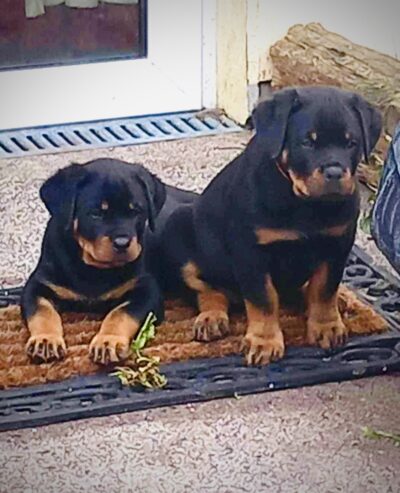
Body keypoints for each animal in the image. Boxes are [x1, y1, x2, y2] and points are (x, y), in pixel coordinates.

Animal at [21, 157, 166, 362]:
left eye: (136, 211)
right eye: (96, 213)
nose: (122, 243)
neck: (93, 269)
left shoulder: (147, 290)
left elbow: (121, 313)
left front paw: (108, 341)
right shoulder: (38, 285)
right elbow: (42, 311)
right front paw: (45, 340)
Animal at [148, 86, 382, 366]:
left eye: (350, 143)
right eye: (307, 142)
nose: (335, 173)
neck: (304, 204)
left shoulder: (338, 244)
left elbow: (325, 289)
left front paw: (326, 326)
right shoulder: (251, 252)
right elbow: (264, 299)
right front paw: (265, 342)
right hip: (179, 230)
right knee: (206, 288)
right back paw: (211, 318)